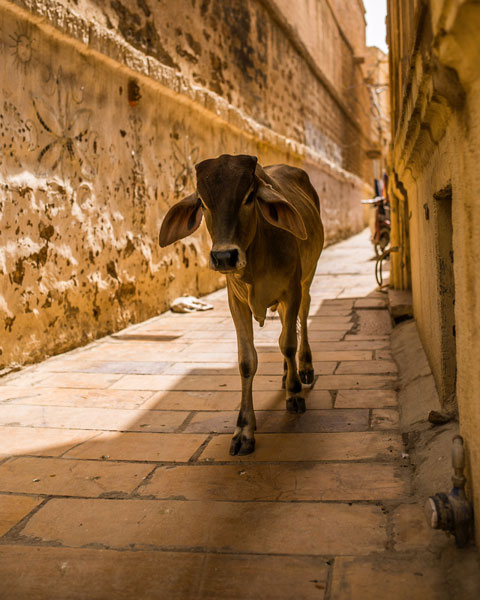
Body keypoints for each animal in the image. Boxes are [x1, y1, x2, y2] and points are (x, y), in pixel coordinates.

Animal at [159, 155, 324, 454]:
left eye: (248, 197)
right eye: (203, 201)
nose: (225, 256)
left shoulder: (292, 290)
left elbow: (288, 343)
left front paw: (294, 394)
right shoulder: (236, 302)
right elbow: (247, 361)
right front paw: (244, 430)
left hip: (308, 278)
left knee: (302, 321)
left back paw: (302, 369)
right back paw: (286, 374)